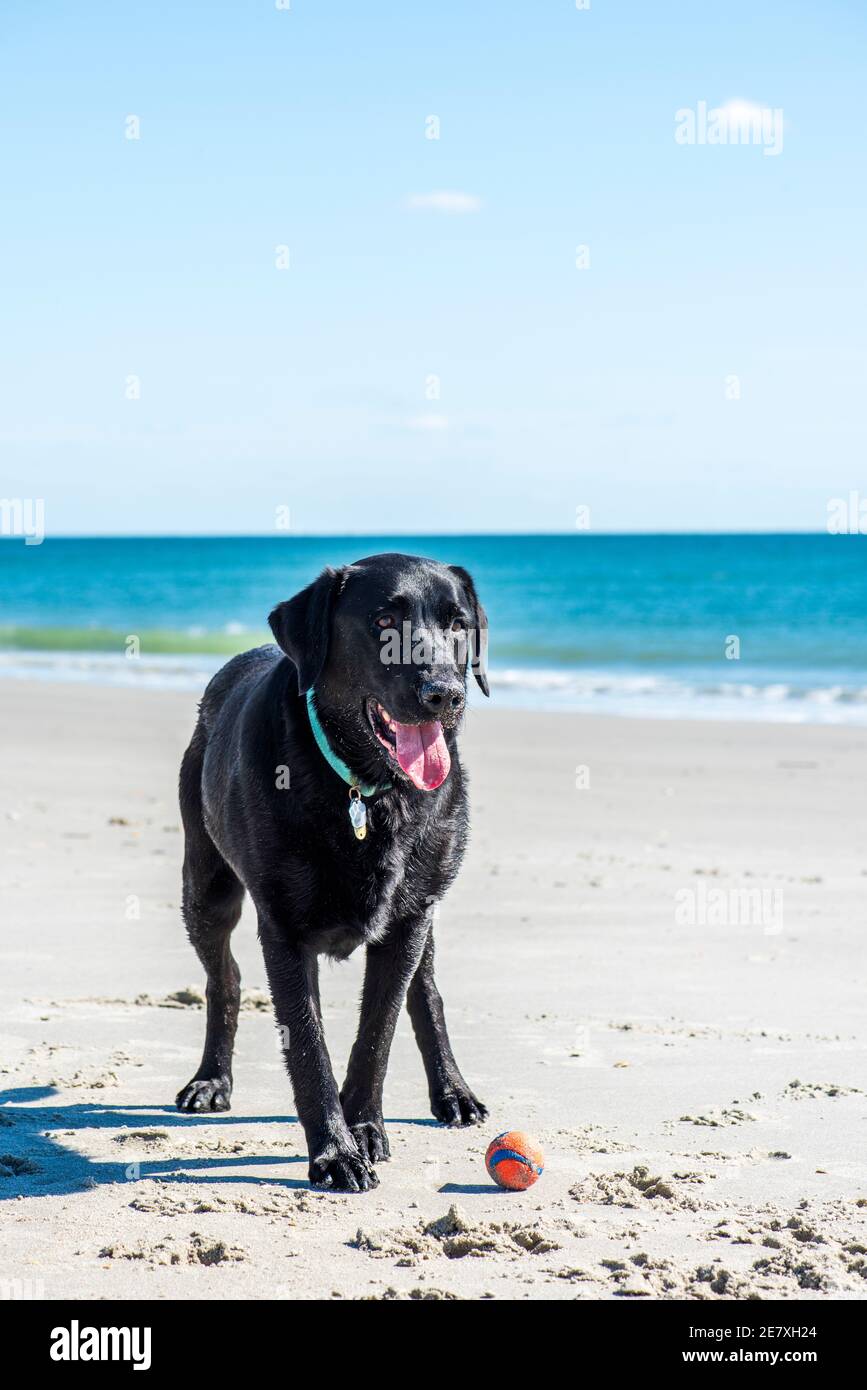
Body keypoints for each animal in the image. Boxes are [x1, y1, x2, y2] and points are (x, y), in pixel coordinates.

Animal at [176, 547, 489, 1189]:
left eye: (458, 623)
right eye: (383, 622)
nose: (445, 692)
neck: (367, 790)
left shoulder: (408, 918)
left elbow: (379, 1029)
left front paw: (363, 1125)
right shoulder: (283, 930)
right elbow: (306, 1041)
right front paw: (334, 1150)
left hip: (425, 898)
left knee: (426, 992)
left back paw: (453, 1092)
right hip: (205, 886)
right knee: (225, 978)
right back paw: (211, 1080)